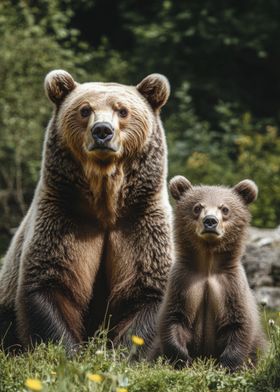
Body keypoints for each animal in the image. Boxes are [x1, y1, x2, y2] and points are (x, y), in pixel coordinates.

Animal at [0, 70, 173, 356]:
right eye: (84, 109)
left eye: (122, 110)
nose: (102, 131)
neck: (105, 204)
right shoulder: (65, 216)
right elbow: (51, 283)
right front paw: (68, 351)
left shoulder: (140, 221)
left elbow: (149, 289)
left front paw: (123, 353)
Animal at [151, 177, 266, 370]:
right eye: (197, 207)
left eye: (225, 208)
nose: (210, 221)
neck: (208, 266)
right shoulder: (182, 283)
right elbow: (173, 319)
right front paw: (185, 360)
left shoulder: (230, 286)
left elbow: (239, 324)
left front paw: (227, 365)